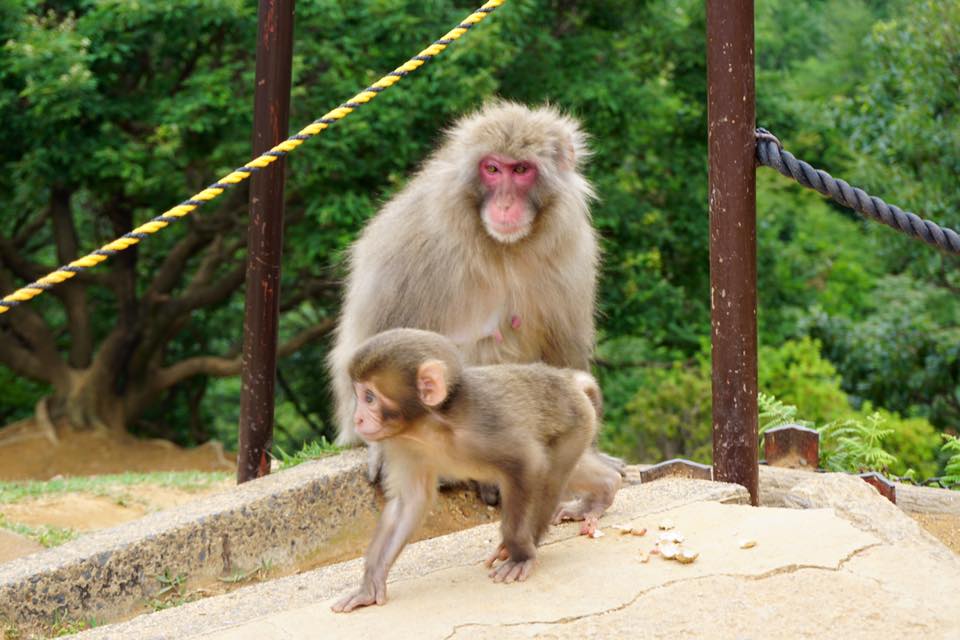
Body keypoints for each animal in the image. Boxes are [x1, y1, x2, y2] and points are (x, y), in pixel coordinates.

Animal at [330, 100, 600, 492]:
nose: (505, 205)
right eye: (492, 169)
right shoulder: (413, 243)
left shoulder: (573, 255)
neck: (501, 248)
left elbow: (562, 355)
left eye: (521, 169)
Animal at [332, 328, 624, 612]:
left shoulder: (485, 426)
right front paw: (370, 584)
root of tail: (568, 380)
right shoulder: (402, 444)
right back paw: (605, 487)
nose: (358, 418)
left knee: (550, 470)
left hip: (576, 421)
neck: (430, 425)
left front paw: (519, 553)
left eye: (369, 397)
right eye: (359, 395)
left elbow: (529, 464)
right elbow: (410, 501)